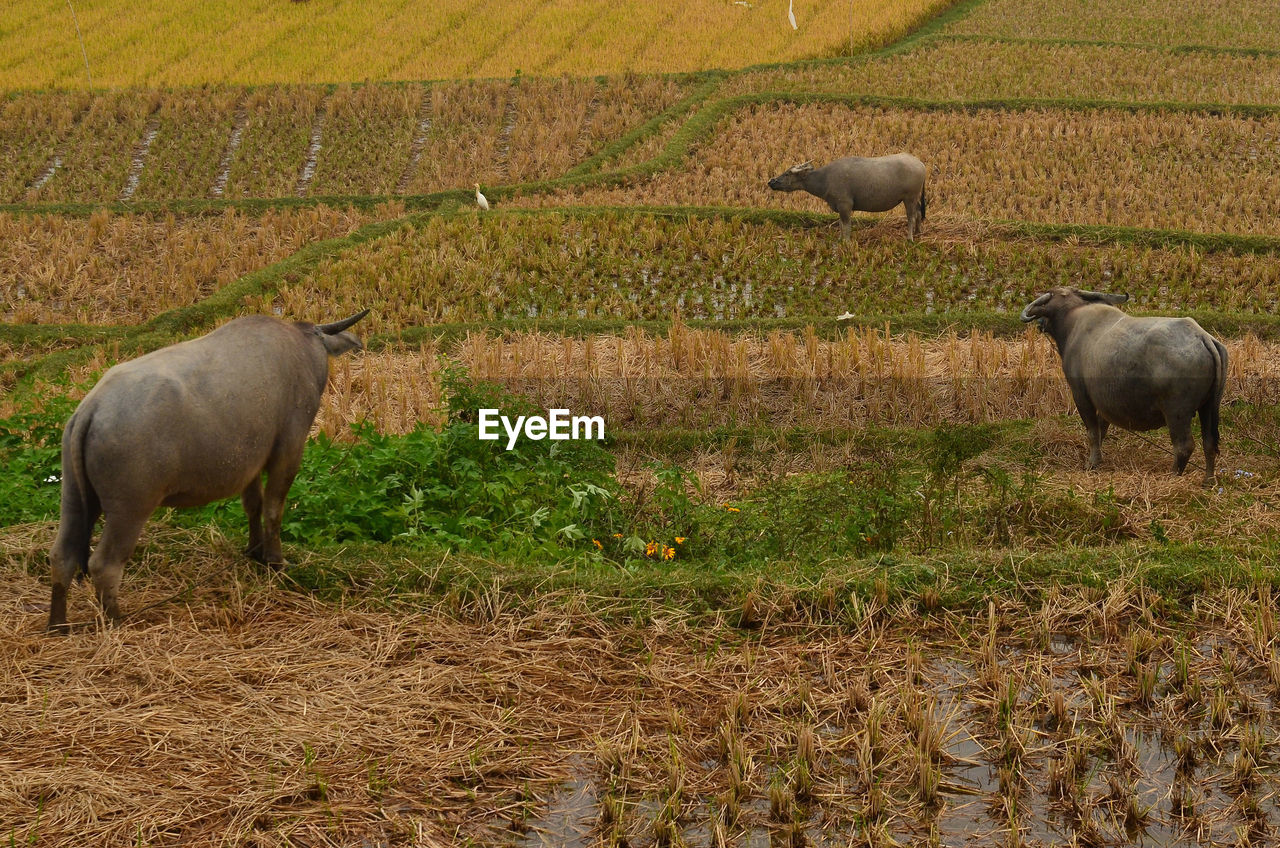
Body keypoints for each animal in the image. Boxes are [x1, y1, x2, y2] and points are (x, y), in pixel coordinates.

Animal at [46, 309, 370, 632]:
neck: (302, 348)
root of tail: (92, 410)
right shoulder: (288, 451)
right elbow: (273, 510)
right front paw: (275, 561)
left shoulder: (249, 463)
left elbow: (253, 505)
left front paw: (254, 551)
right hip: (130, 507)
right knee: (104, 565)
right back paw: (117, 620)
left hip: (74, 496)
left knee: (62, 555)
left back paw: (58, 624)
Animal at [767, 153, 927, 241]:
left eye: (787, 173)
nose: (771, 181)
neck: (825, 179)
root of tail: (921, 164)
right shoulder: (839, 206)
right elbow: (840, 224)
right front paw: (839, 239)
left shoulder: (845, 205)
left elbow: (847, 225)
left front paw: (846, 241)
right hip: (915, 198)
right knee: (918, 212)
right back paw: (918, 232)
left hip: (909, 198)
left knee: (911, 216)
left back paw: (910, 238)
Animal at [1020, 287, 1227, 485]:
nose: (1041, 324)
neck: (1073, 319)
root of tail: (1203, 337)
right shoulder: (1103, 402)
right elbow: (1101, 429)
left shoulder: (1081, 395)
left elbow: (1093, 431)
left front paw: (1091, 463)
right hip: (1208, 406)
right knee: (1209, 443)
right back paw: (1208, 480)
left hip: (1177, 411)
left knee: (1184, 446)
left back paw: (1173, 475)